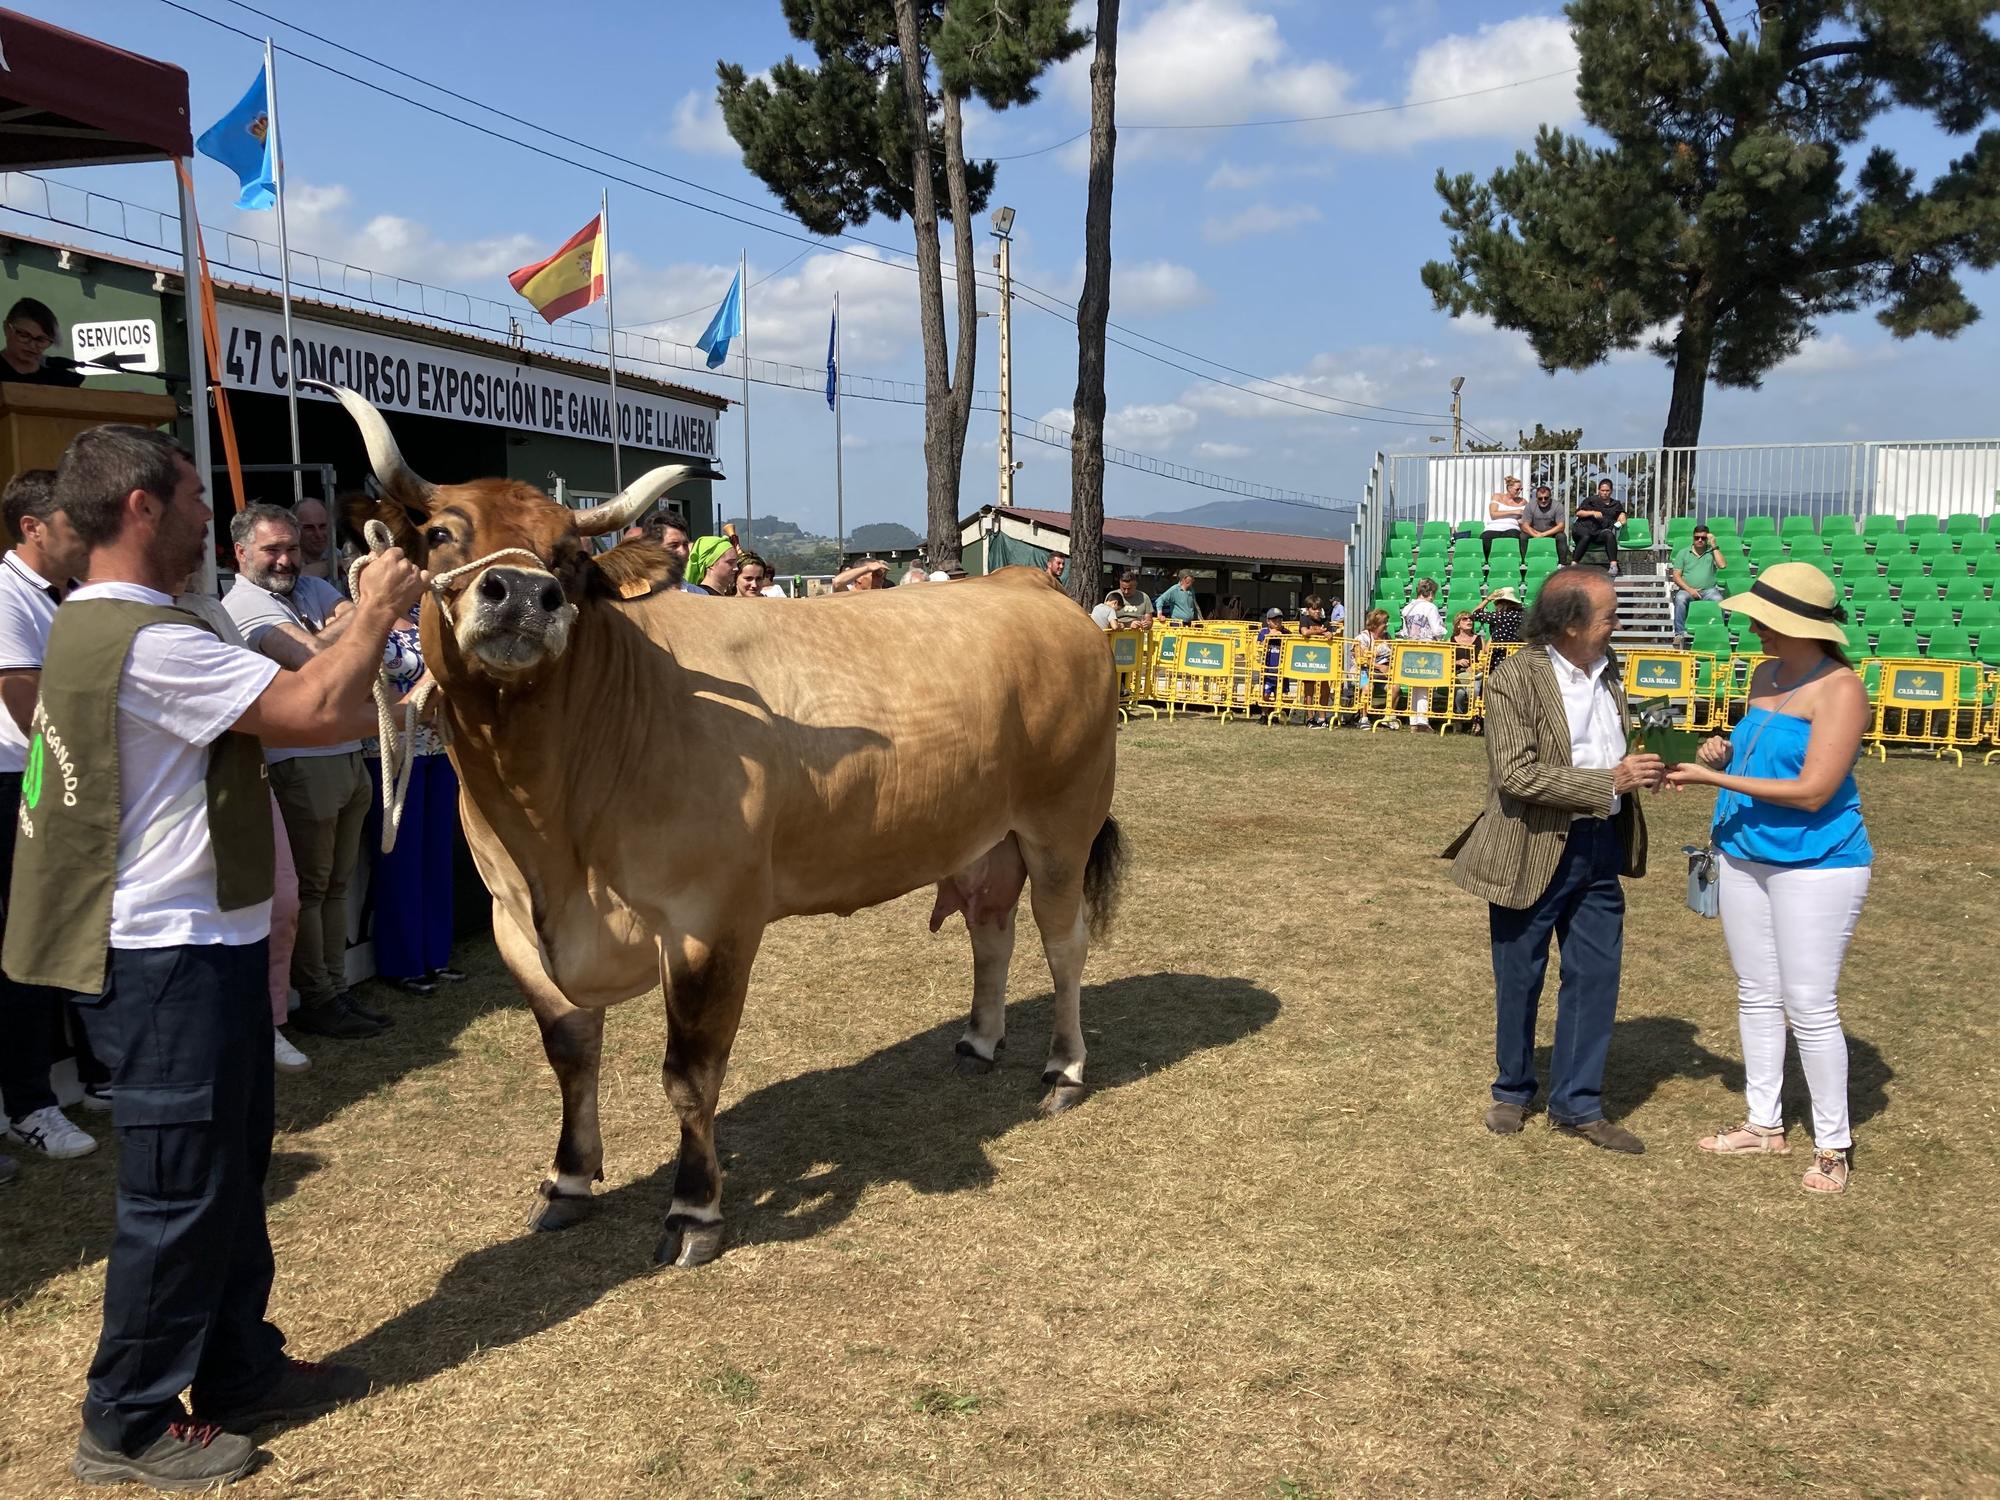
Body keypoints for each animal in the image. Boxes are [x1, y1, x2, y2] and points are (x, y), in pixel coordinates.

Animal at [316, 384, 1128, 1272]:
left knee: (1063, 944)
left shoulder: (709, 919)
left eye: (568, 556)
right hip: (986, 835)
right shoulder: (512, 922)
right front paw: (568, 1180)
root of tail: (1030, 587)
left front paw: (693, 1209)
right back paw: (980, 1041)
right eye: (439, 534)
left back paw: (1063, 1071)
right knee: (991, 930)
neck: (552, 829)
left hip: (1062, 824)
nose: (524, 595)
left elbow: (690, 1073)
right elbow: (571, 1055)